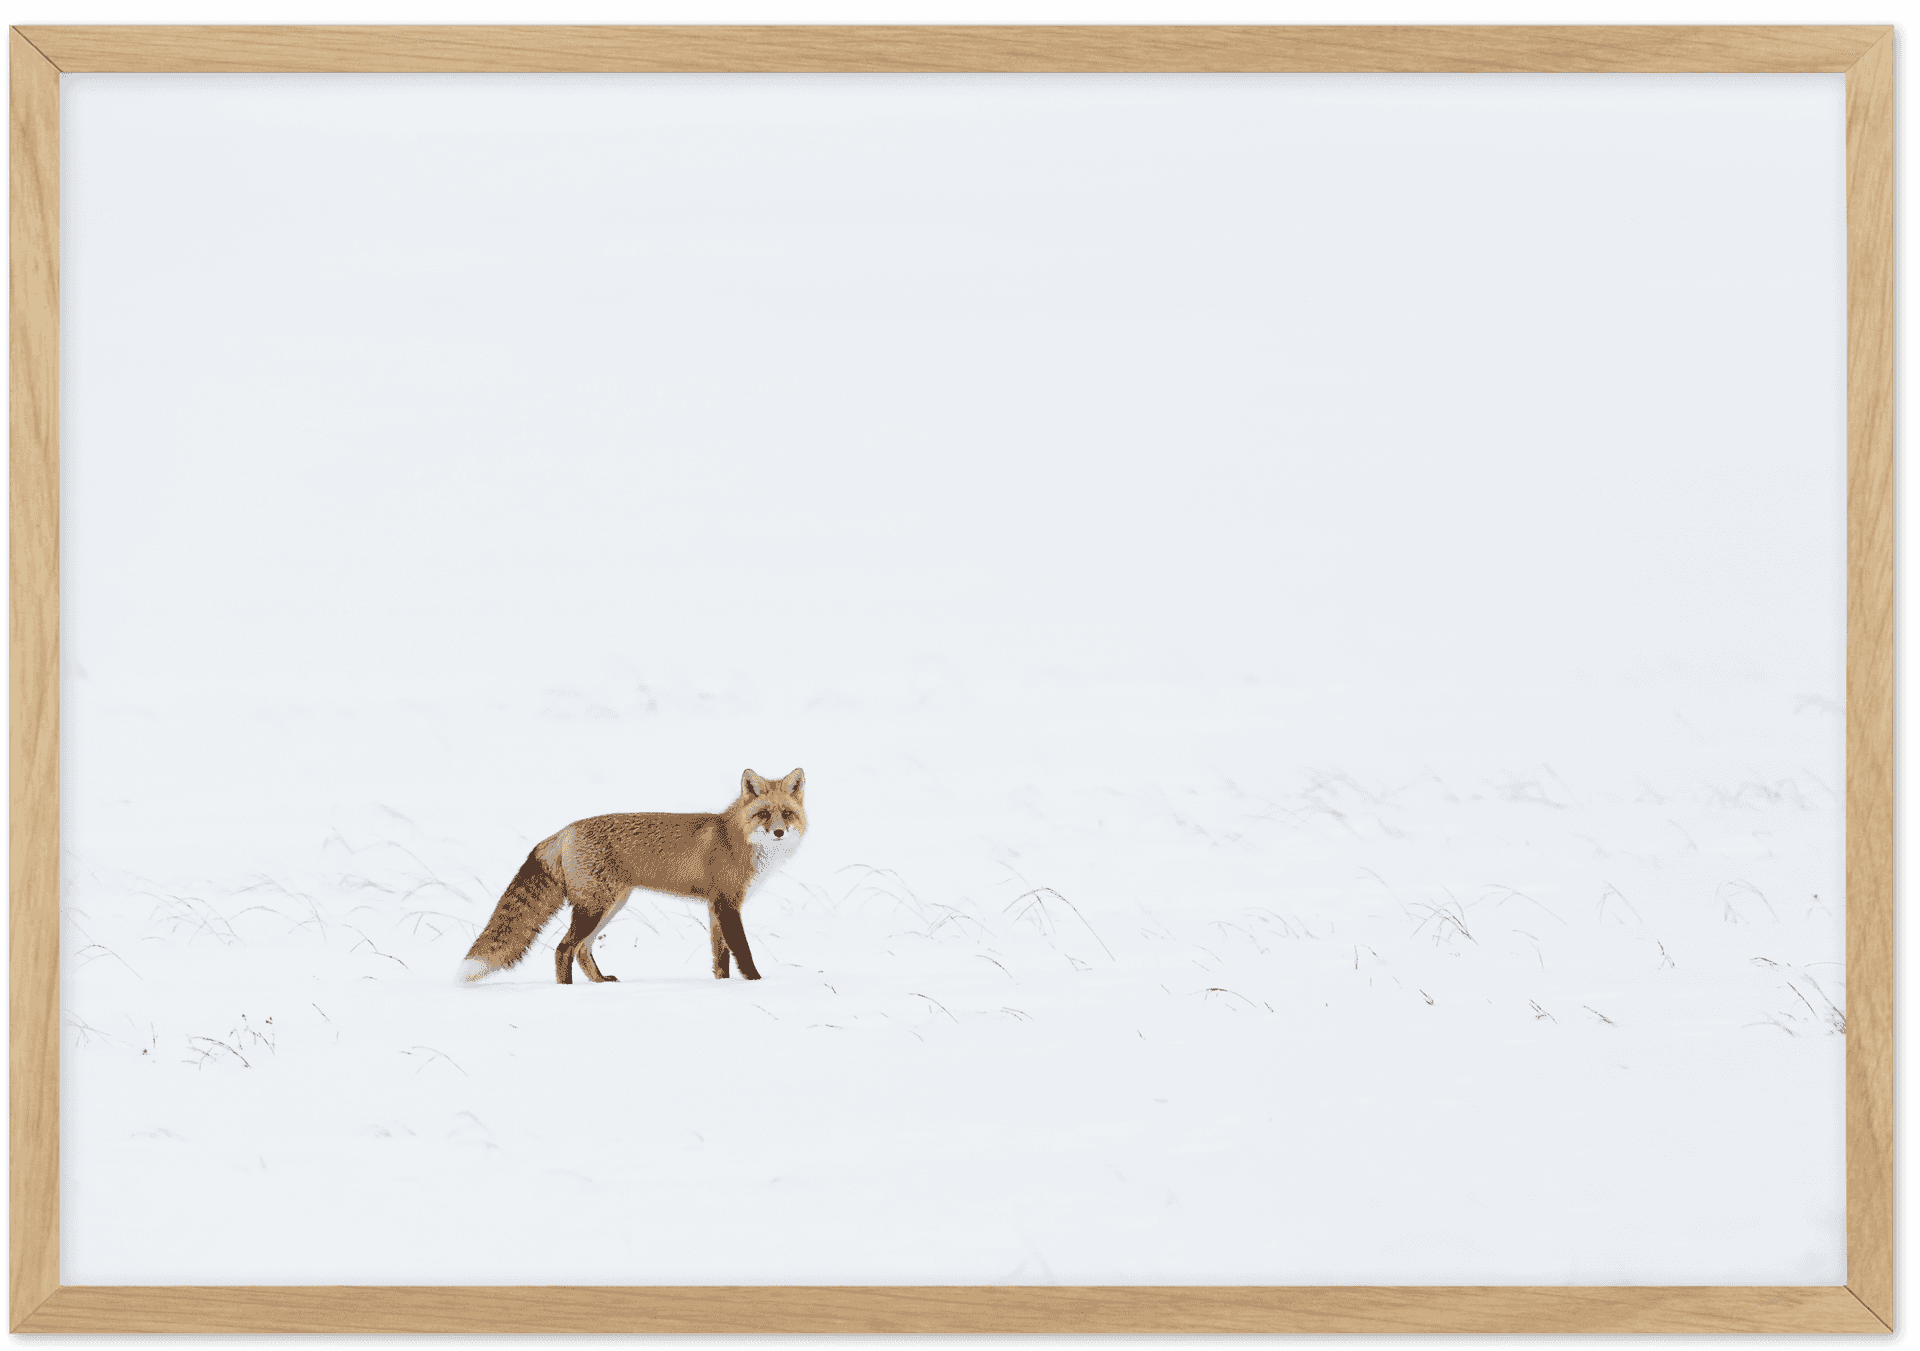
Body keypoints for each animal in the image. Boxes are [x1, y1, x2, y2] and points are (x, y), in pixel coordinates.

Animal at [456, 763, 802, 990]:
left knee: (581, 950)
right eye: (763, 814)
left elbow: (721, 959)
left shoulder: (716, 906)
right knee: (563, 948)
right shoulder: (728, 905)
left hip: (611, 905)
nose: (779, 832)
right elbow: (742, 951)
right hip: (596, 907)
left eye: (787, 813)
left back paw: (601, 984)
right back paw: (567, 992)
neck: (737, 838)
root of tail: (564, 831)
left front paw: (724, 988)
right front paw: (756, 984)